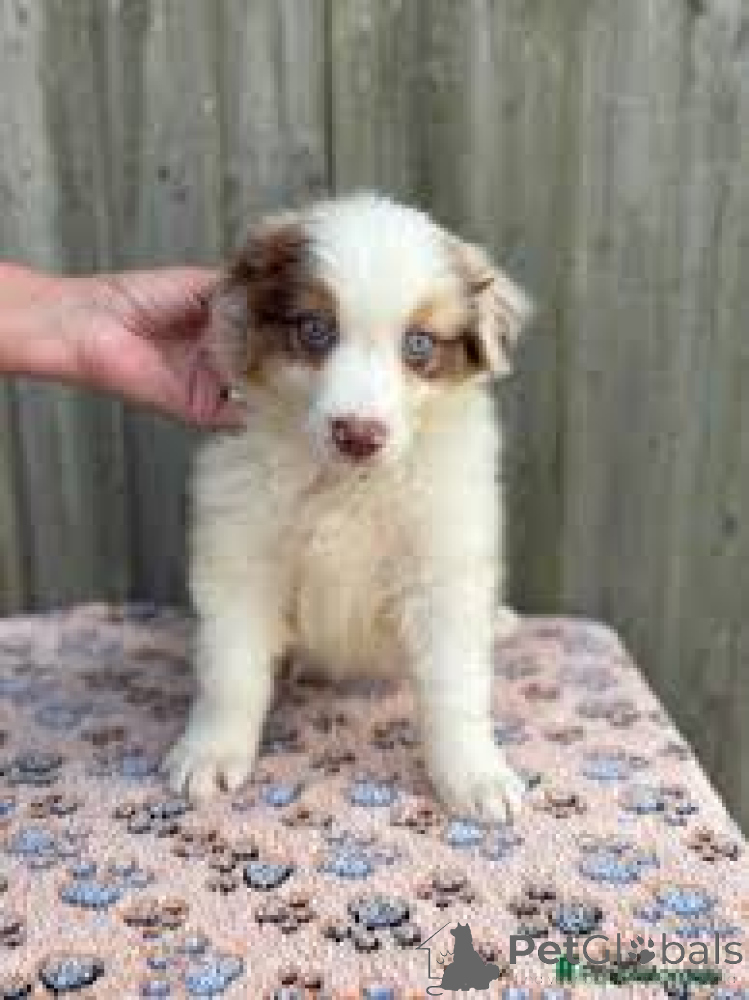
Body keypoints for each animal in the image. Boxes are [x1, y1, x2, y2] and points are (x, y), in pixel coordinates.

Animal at [163, 192, 532, 823]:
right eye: (315, 329)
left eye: (419, 345)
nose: (358, 434)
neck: (348, 484)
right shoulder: (239, 558)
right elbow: (231, 673)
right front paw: (209, 753)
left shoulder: (443, 571)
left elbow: (455, 688)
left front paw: (476, 775)